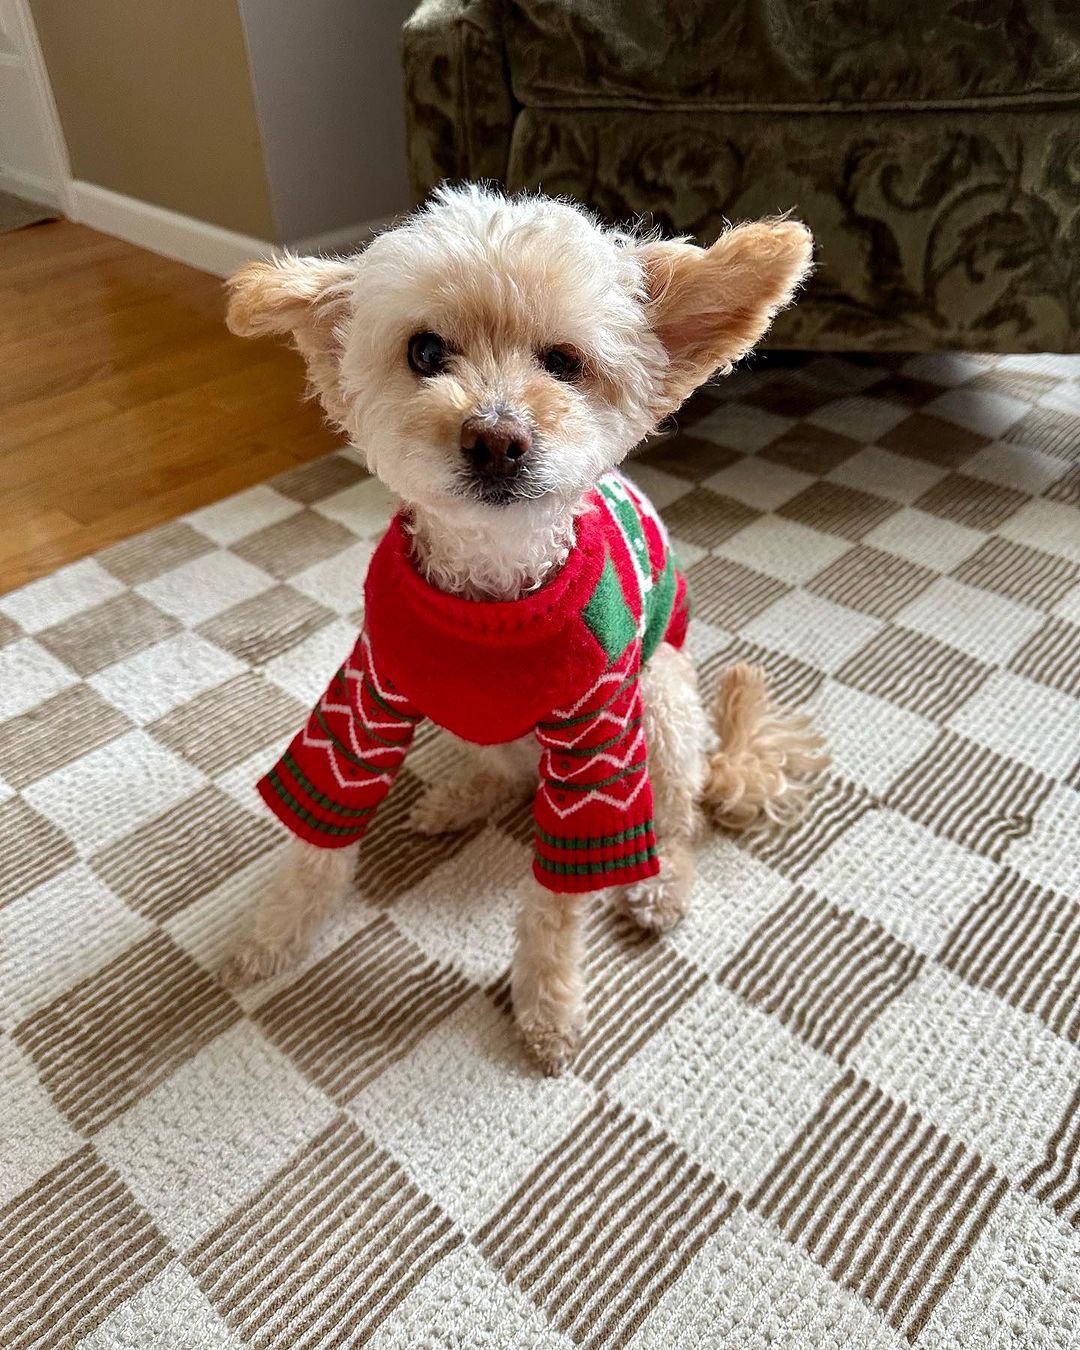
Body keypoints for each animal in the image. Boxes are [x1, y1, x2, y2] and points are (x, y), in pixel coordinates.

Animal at [221, 182, 826, 1074]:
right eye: (425, 351)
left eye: (564, 362)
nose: (495, 439)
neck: (492, 594)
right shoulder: (367, 697)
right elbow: (318, 835)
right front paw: (268, 937)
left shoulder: (596, 742)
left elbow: (557, 899)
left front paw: (546, 1002)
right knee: (502, 771)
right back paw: (458, 800)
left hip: (661, 706)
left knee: (673, 821)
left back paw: (658, 885)